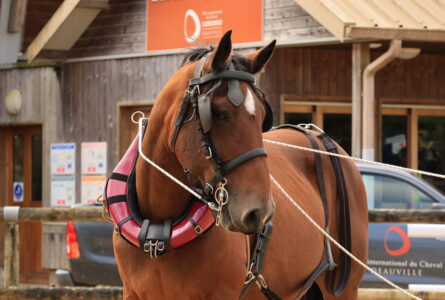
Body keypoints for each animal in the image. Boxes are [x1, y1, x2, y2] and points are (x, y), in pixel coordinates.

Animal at [112, 31, 366, 298]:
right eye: (218, 112)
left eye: (263, 116)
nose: (259, 213)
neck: (159, 231)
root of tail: (319, 136)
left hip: (344, 287)